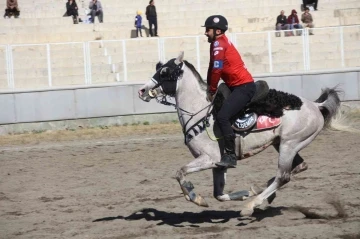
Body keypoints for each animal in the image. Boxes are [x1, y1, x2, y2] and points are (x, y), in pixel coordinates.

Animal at [139, 51, 342, 216]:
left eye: (165, 72)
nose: (142, 90)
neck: (201, 112)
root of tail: (315, 105)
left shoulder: (209, 159)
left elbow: (180, 172)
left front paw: (195, 197)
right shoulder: (219, 165)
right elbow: (219, 195)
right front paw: (245, 193)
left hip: (289, 145)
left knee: (283, 176)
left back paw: (252, 205)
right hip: (283, 144)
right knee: (298, 167)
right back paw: (262, 192)